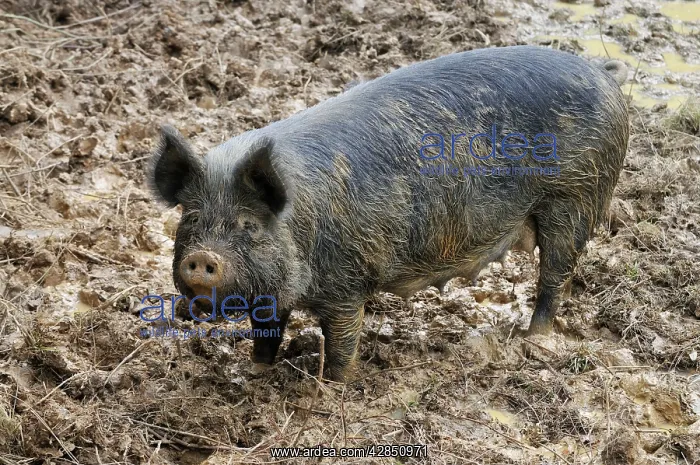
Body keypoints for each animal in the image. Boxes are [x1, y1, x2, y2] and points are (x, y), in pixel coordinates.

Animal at [149, 45, 629, 381]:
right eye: (191, 218)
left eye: (248, 225)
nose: (203, 257)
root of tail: (601, 71)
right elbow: (266, 332)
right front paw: (255, 372)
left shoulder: (347, 283)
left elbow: (341, 344)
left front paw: (331, 389)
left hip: (575, 197)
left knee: (556, 275)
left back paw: (534, 340)